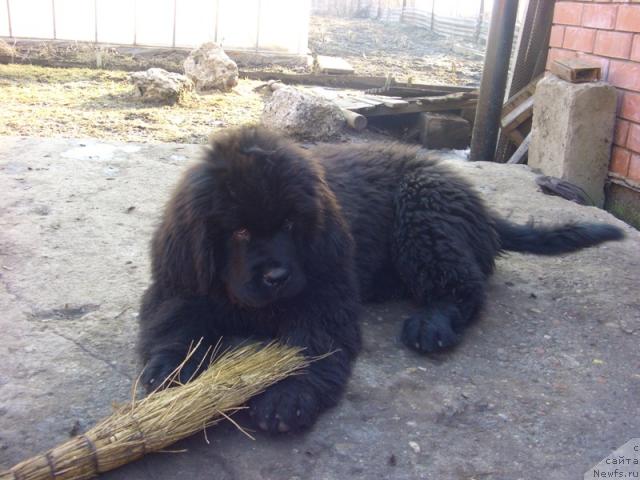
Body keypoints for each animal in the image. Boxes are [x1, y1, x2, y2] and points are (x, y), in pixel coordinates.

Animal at [139, 125, 620, 434]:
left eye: (292, 224)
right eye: (238, 231)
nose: (277, 275)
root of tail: (481, 207)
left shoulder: (323, 292)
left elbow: (309, 345)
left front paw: (287, 396)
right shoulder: (179, 286)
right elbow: (174, 327)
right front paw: (167, 372)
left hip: (423, 213)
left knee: (465, 288)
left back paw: (430, 324)